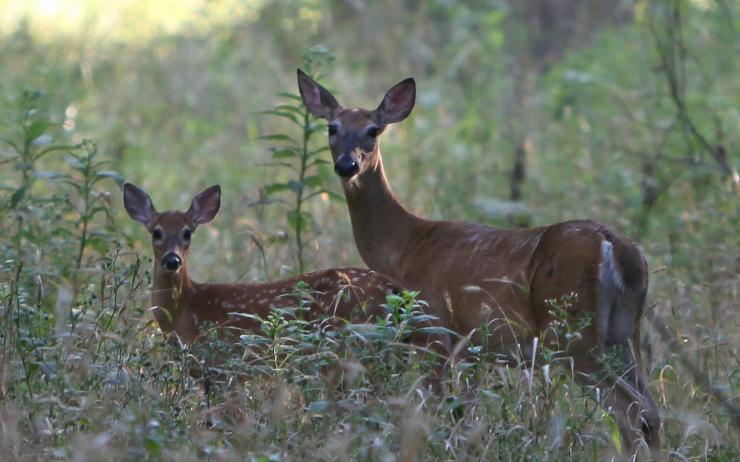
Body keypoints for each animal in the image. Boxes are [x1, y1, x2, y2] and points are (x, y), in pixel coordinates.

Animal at [298, 70, 660, 456]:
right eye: (332, 127)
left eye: (373, 130)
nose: (346, 165)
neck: (405, 246)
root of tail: (617, 248)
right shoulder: (474, 350)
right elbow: (467, 416)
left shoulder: (434, 331)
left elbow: (437, 411)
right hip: (625, 332)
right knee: (650, 411)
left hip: (571, 331)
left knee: (630, 409)